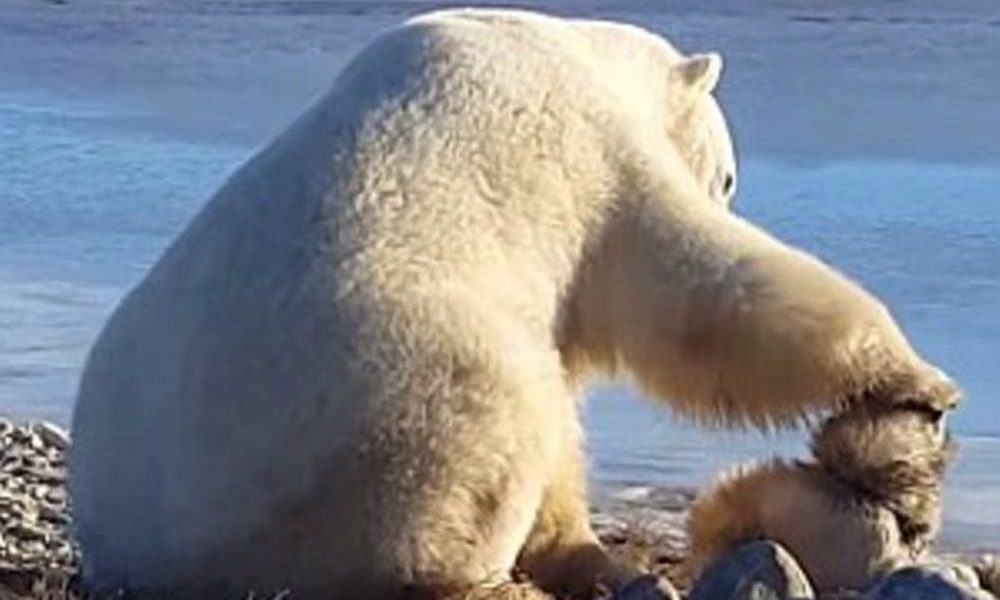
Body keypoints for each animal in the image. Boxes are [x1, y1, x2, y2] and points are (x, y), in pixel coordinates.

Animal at [68, 8, 952, 600]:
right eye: (729, 174)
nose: (727, 187)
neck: (573, 48)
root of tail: (149, 555)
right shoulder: (592, 156)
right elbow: (699, 287)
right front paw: (919, 383)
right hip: (380, 402)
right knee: (489, 434)